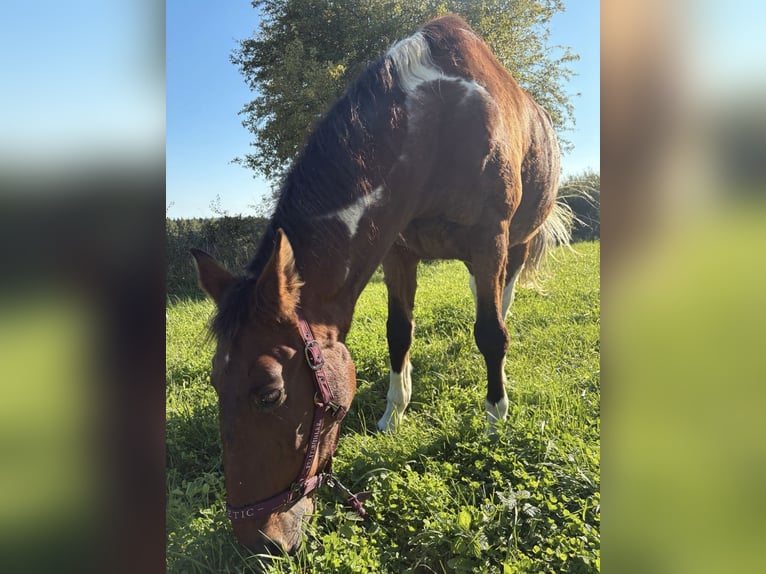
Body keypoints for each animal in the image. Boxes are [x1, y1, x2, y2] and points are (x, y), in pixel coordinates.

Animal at [191, 14, 570, 554]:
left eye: (269, 394)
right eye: (215, 383)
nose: (257, 541)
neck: (437, 123)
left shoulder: (489, 240)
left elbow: (491, 334)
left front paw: (495, 418)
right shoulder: (398, 252)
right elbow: (398, 333)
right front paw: (395, 413)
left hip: (517, 242)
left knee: (504, 298)